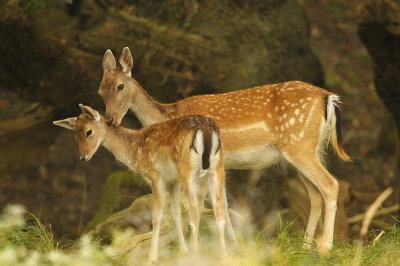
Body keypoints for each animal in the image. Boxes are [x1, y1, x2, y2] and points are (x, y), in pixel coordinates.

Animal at [54, 103, 227, 262]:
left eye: (88, 132)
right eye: (75, 135)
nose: (83, 156)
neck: (133, 149)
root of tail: (206, 130)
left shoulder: (155, 176)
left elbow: (157, 217)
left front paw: (152, 257)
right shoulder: (173, 181)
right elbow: (176, 213)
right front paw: (182, 251)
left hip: (188, 171)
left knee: (196, 207)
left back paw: (196, 253)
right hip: (217, 168)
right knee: (219, 208)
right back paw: (222, 253)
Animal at [98, 46, 352, 255]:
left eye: (120, 86)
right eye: (100, 90)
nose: (110, 120)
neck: (167, 114)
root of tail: (328, 98)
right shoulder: (220, 164)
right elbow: (226, 204)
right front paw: (234, 245)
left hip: (300, 146)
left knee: (330, 185)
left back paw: (325, 248)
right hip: (307, 151)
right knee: (315, 194)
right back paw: (305, 247)